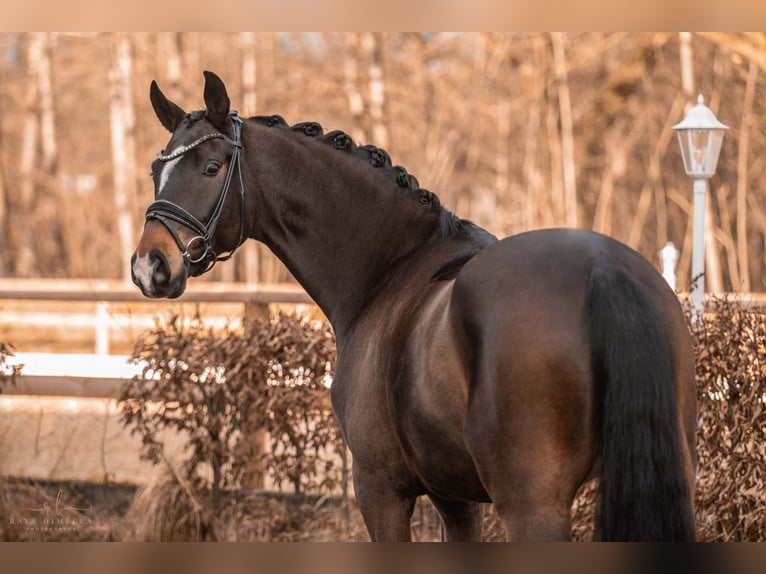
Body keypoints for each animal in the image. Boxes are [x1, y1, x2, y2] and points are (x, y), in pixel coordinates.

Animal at [134, 70, 704, 544]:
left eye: (211, 167)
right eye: (154, 171)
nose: (149, 267)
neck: (392, 268)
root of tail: (603, 270)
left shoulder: (380, 490)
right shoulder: (456, 498)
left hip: (533, 504)